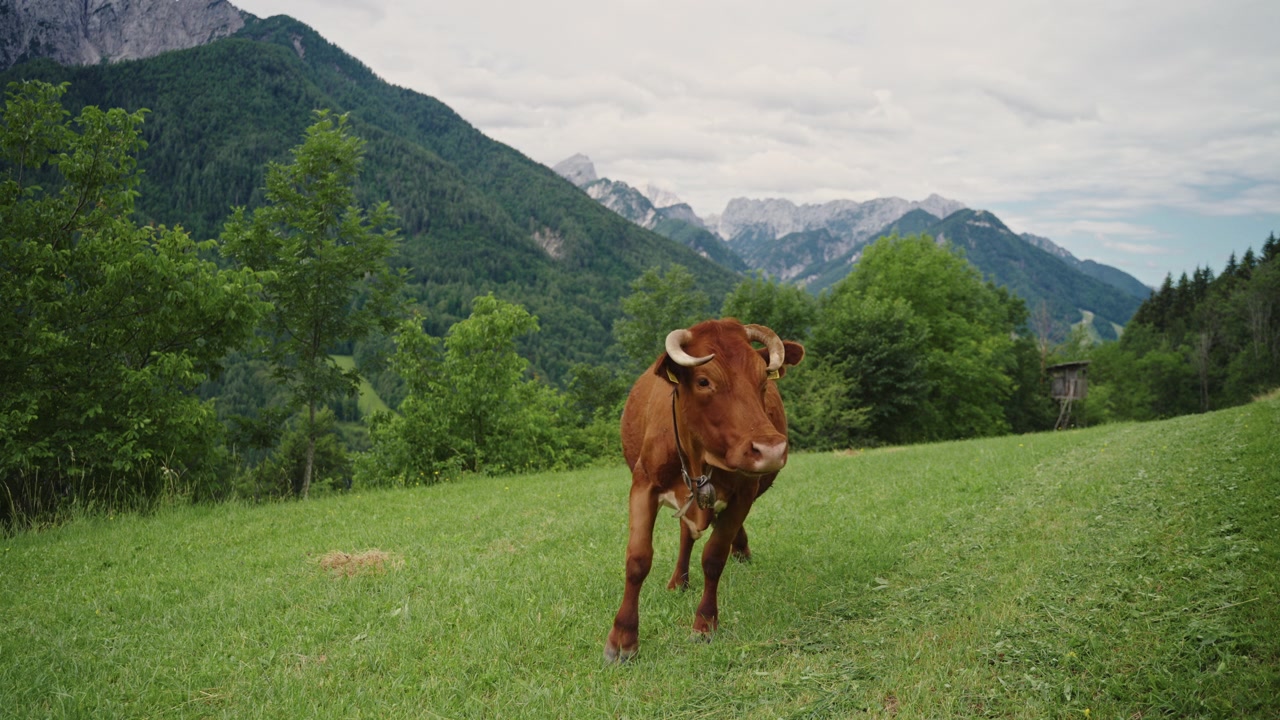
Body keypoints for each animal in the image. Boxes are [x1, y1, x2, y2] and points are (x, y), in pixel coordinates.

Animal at [604, 319, 805, 663]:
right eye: (703, 381)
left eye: (763, 378)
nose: (770, 449)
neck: (699, 461)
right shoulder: (643, 484)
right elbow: (638, 559)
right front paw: (623, 638)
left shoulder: (744, 493)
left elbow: (714, 556)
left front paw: (705, 623)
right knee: (686, 536)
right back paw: (678, 581)